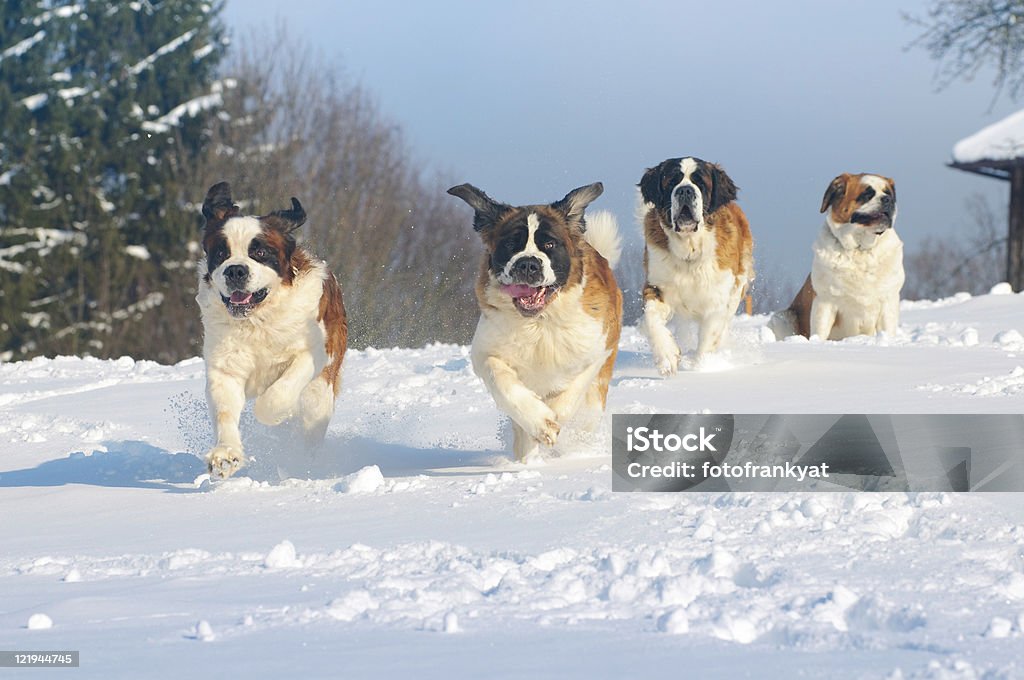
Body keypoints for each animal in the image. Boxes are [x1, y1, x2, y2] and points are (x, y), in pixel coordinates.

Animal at [195, 180, 348, 477]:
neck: (258, 319)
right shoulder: (224, 368)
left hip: (319, 393)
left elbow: (276, 396)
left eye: (260, 253)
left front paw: (275, 414)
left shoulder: (313, 353)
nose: (235, 271)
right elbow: (224, 411)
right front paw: (225, 456)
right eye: (221, 253)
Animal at [448, 180, 622, 462]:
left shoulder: (597, 349)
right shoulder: (485, 352)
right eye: (511, 244)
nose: (528, 264)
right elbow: (502, 381)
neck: (540, 322)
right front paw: (541, 423)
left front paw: (553, 417)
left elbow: (573, 390)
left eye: (549, 245)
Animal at [638, 156, 753, 374]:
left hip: (737, 289)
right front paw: (667, 356)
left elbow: (709, 338)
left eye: (700, 183)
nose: (685, 190)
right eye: (672, 181)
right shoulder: (657, 286)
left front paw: (701, 367)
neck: (689, 248)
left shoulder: (717, 300)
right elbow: (651, 319)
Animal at [770, 170, 905, 340]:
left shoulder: (888, 301)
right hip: (782, 317)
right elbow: (820, 331)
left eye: (889, 193)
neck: (860, 250)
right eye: (867, 194)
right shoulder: (824, 302)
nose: (888, 199)